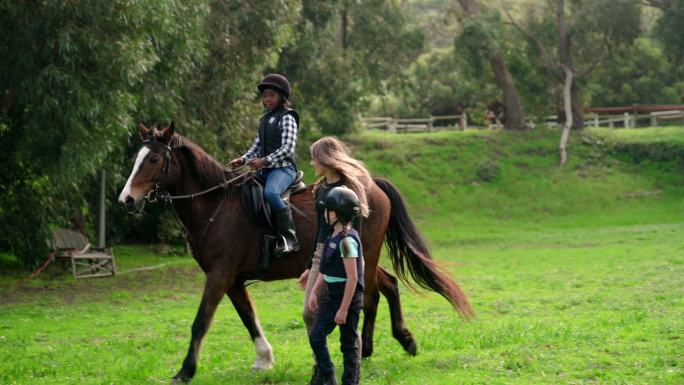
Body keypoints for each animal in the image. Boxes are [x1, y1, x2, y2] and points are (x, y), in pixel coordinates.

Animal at [119, 122, 470, 380]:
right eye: (137, 158)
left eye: (153, 159)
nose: (126, 200)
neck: (217, 207)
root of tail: (371, 184)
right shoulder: (231, 280)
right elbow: (248, 317)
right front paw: (264, 359)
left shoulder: (219, 276)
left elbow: (201, 321)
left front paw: (185, 371)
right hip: (360, 258)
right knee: (386, 287)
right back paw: (387, 344)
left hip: (363, 257)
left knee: (372, 294)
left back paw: (387, 343)